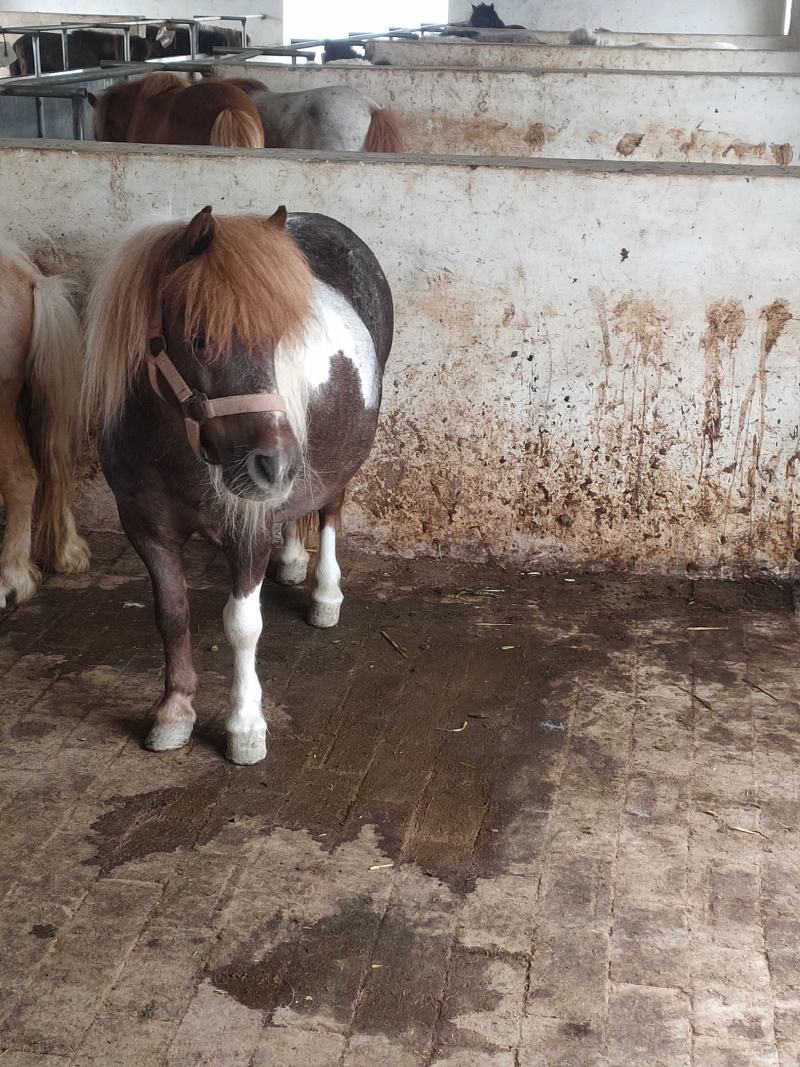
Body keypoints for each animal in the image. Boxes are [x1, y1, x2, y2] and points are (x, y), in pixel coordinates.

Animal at [82, 206, 393, 765]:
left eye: (278, 341)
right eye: (200, 338)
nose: (276, 465)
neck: (174, 448)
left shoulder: (245, 533)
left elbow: (243, 626)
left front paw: (246, 726)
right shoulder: (147, 529)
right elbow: (172, 614)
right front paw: (174, 712)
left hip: (340, 461)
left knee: (330, 512)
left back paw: (325, 595)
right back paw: (291, 561)